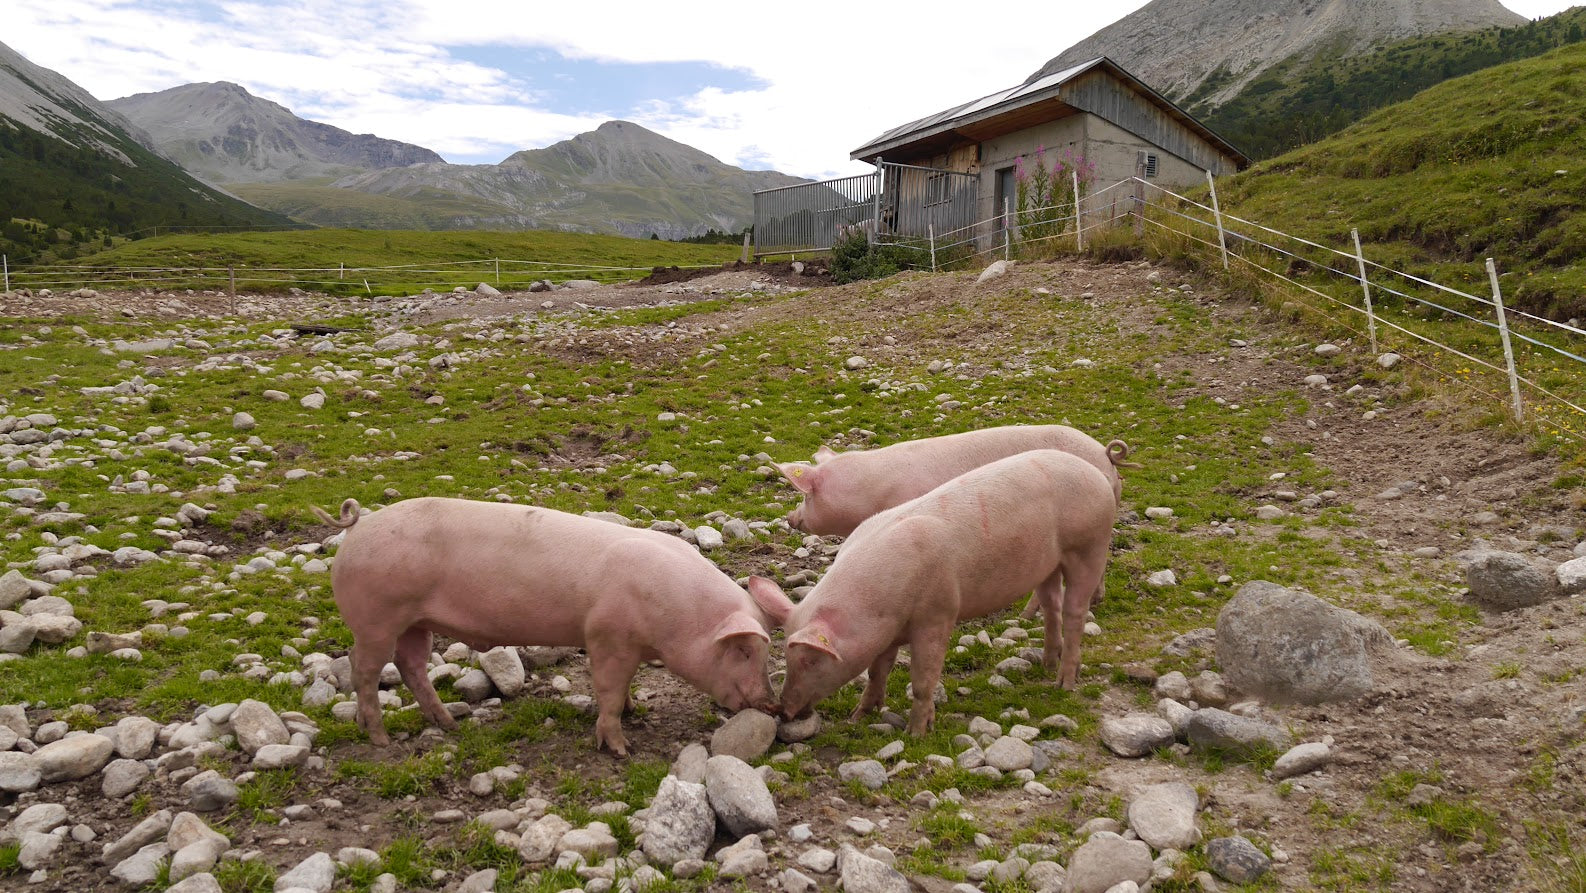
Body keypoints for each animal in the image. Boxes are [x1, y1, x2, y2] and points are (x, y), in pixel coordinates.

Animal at [309, 494, 786, 755]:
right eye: (744, 650)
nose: (773, 706)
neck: (677, 612)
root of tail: (359, 527)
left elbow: (625, 688)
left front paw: (635, 711)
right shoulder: (607, 637)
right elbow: (608, 691)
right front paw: (621, 749)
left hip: (415, 622)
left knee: (411, 666)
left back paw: (450, 726)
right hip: (376, 617)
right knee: (364, 669)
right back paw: (380, 740)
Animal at [758, 450, 1116, 735]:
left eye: (810, 660)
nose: (782, 710)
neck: (878, 606)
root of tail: (1096, 472)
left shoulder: (938, 614)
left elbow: (923, 680)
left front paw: (916, 734)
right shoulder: (888, 632)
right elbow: (877, 671)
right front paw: (858, 717)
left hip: (1089, 546)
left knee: (1075, 611)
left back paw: (1063, 683)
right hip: (1047, 563)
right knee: (1051, 605)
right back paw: (1045, 665)